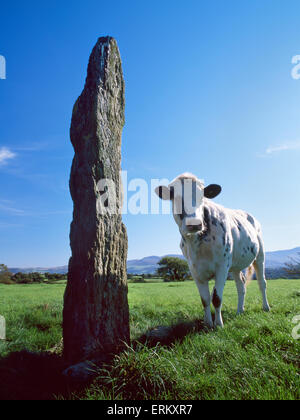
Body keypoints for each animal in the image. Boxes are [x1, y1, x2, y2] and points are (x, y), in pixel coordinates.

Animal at [156, 172, 270, 330]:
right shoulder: (194, 269)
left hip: (260, 255)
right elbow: (205, 299)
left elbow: (216, 298)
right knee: (241, 285)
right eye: (175, 197)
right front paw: (207, 323)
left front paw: (219, 324)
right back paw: (240, 310)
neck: (198, 243)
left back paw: (266, 307)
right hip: (235, 264)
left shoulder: (222, 266)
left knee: (262, 282)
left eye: (202, 197)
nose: (194, 224)